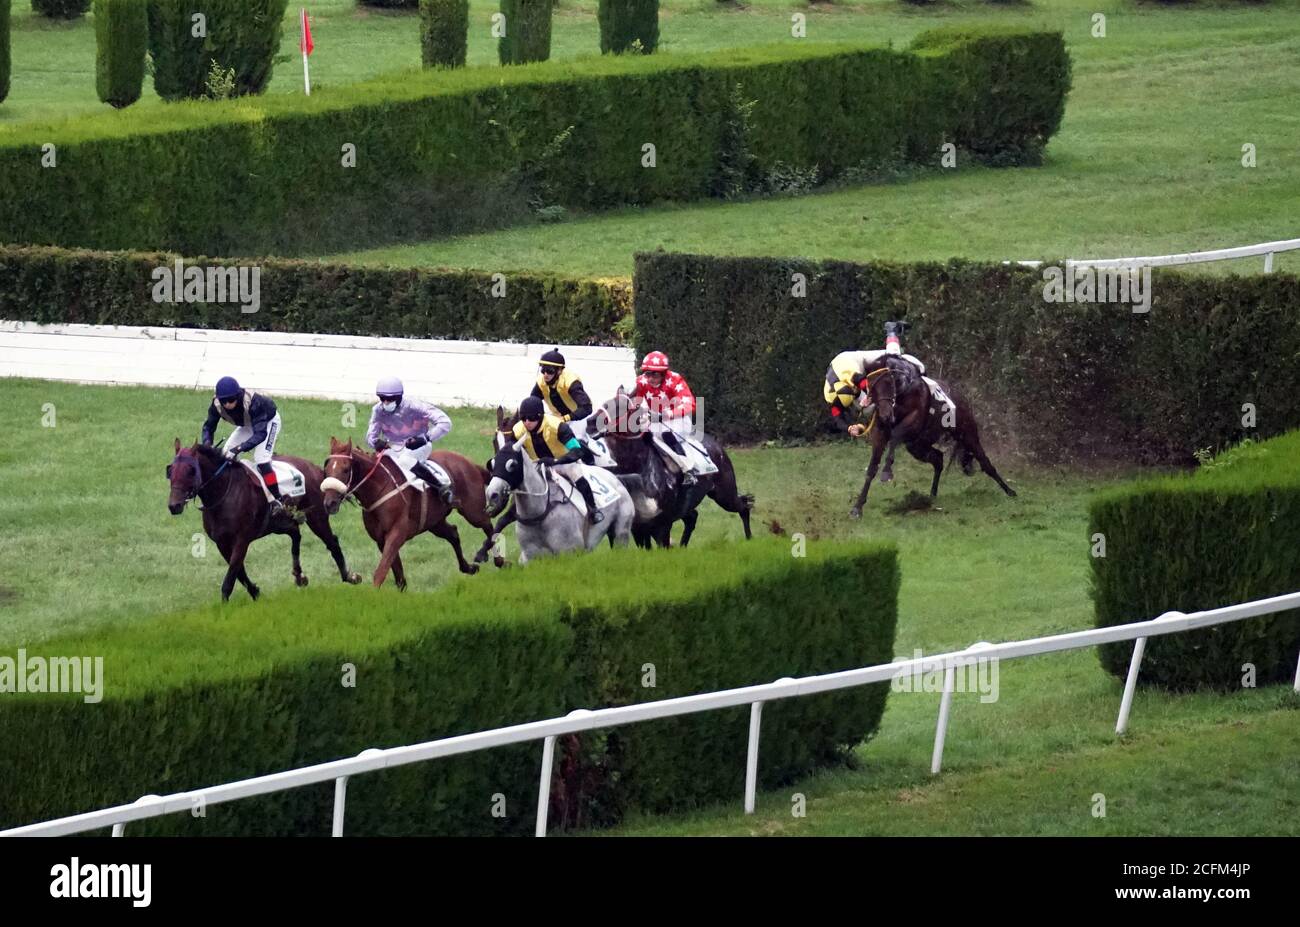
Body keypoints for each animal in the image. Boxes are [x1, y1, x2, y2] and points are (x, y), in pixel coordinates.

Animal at [166, 439, 366, 603]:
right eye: (170, 470)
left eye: (191, 470)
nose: (174, 505)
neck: (223, 493)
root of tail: (316, 468)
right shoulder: (221, 542)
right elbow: (238, 571)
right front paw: (255, 591)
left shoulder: (242, 539)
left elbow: (231, 575)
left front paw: (224, 605)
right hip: (279, 523)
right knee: (295, 534)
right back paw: (299, 576)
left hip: (316, 516)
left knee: (332, 542)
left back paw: (349, 576)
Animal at [322, 436, 504, 590]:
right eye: (326, 468)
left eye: (346, 469)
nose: (329, 503)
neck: (379, 488)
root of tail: (470, 462)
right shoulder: (381, 539)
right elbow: (398, 575)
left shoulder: (397, 533)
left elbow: (381, 572)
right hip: (435, 521)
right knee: (453, 533)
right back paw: (469, 568)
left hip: (473, 512)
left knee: (489, 527)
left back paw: (499, 560)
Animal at [486, 436, 631, 561]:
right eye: (492, 464)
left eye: (512, 465)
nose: (491, 494)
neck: (539, 513)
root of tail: (616, 478)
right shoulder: (529, 558)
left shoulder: (570, 552)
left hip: (621, 532)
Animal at [587, 387, 759, 546]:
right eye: (605, 403)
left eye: (620, 407)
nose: (590, 423)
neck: (636, 468)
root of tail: (718, 446)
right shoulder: (638, 526)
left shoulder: (662, 523)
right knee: (692, 517)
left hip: (724, 494)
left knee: (743, 506)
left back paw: (750, 538)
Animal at [847, 353, 1019, 517]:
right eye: (870, 386)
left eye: (889, 383)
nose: (886, 416)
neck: (904, 391)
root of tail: (962, 399)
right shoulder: (880, 432)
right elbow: (871, 468)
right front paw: (857, 508)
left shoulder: (911, 423)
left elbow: (895, 437)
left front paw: (887, 472)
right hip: (918, 446)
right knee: (938, 459)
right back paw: (932, 495)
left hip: (967, 435)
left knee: (985, 463)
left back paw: (1010, 491)